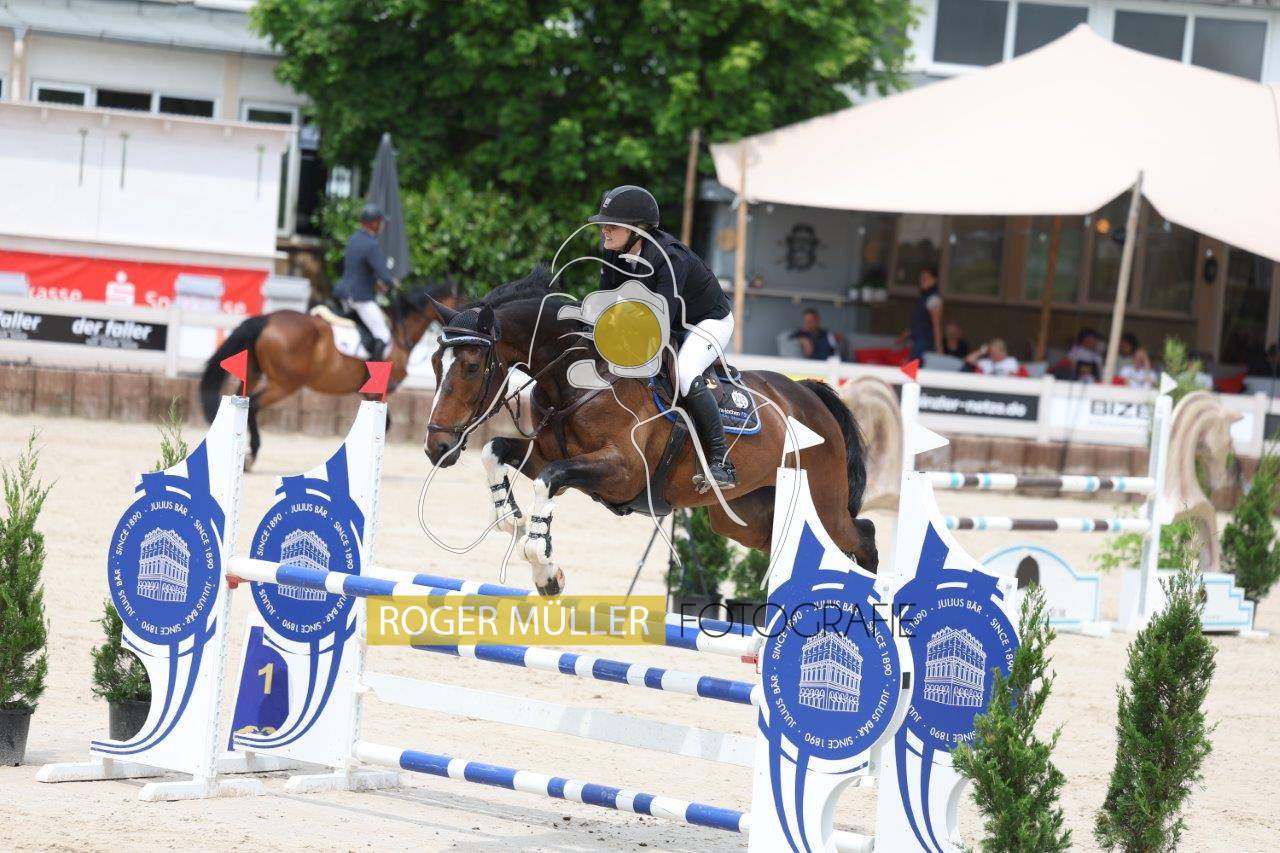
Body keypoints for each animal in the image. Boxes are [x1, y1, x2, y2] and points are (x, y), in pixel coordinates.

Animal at [200, 282, 460, 466]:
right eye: (464, 300)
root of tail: (267, 319)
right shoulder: (377, 393)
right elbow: (385, 425)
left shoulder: (369, 394)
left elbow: (385, 424)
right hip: (284, 384)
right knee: (254, 406)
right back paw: (252, 454)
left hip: (253, 375)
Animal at [423, 267, 877, 596]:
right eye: (433, 363)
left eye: (471, 367)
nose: (437, 447)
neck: (577, 381)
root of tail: (809, 395)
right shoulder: (549, 454)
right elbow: (495, 452)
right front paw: (514, 524)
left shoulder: (621, 472)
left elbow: (547, 482)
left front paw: (542, 562)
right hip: (744, 516)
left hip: (823, 504)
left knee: (861, 537)